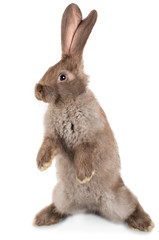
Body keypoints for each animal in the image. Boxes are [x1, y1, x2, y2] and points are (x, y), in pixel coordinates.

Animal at [33, 2, 154, 232]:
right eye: (48, 69)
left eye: (62, 76)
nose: (37, 91)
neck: (67, 102)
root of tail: (90, 205)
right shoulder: (53, 136)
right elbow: (48, 144)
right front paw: (41, 164)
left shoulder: (90, 134)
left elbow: (84, 151)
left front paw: (84, 175)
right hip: (62, 195)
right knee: (61, 208)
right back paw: (43, 217)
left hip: (118, 200)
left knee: (132, 204)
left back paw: (144, 222)